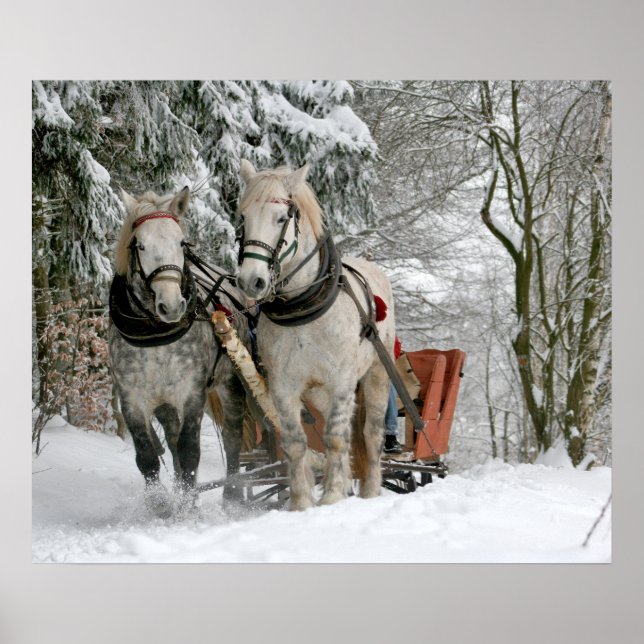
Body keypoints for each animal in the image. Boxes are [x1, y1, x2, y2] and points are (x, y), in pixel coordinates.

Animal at [108, 187, 246, 517]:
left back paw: (233, 495)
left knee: (232, 437)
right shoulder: (132, 398)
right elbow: (147, 455)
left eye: (181, 242)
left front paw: (188, 506)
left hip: (231, 383)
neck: (156, 334)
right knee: (170, 441)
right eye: (140, 245)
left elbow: (190, 451)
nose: (171, 305)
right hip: (164, 402)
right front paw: (162, 504)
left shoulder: (192, 392)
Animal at [236, 160, 395, 510]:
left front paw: (333, 495)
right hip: (319, 392)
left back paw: (370, 490)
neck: (302, 306)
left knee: (370, 433)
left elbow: (335, 438)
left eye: (281, 218)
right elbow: (296, 442)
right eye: (243, 218)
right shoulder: (283, 385)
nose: (251, 281)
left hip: (376, 374)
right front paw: (301, 502)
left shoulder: (343, 380)